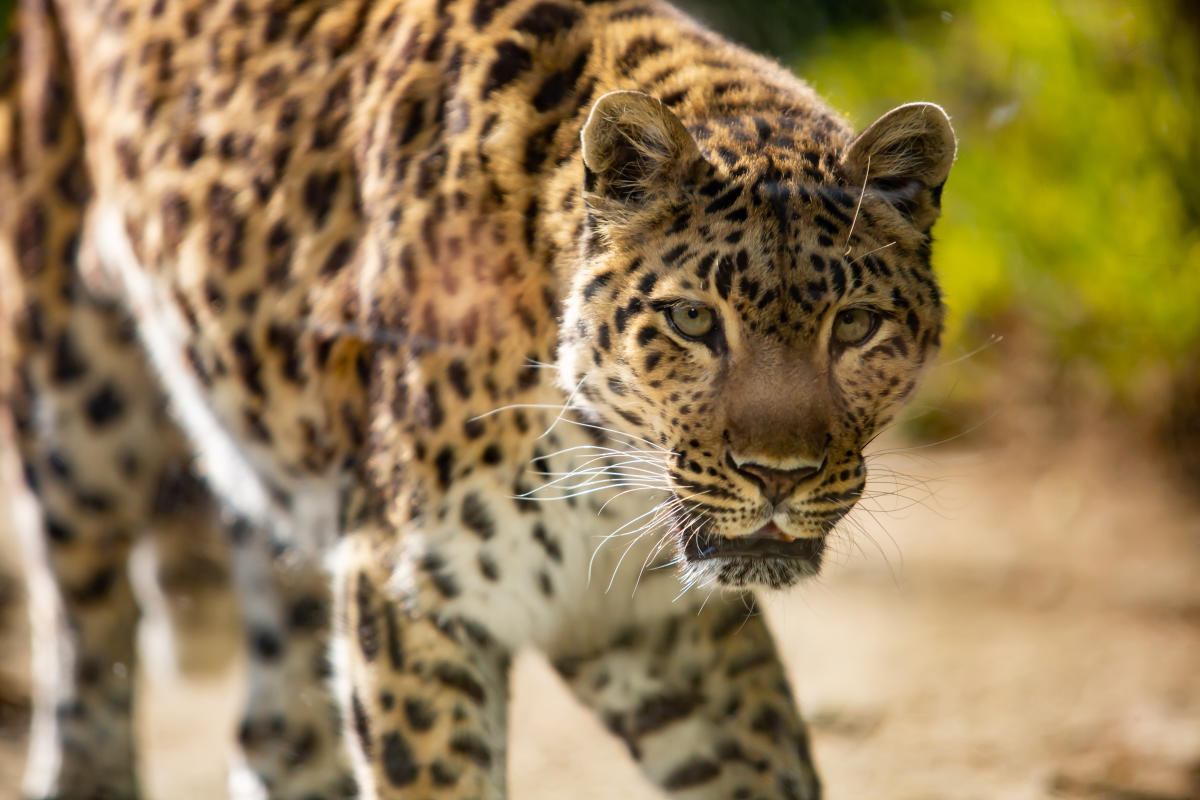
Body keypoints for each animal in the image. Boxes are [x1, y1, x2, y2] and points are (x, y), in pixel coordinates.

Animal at [0, 0, 955, 797]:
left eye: (855, 325)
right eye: (692, 319)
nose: (779, 476)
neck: (604, 479)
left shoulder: (662, 626)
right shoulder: (409, 599)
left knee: (276, 734)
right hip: (78, 415)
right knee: (84, 647)